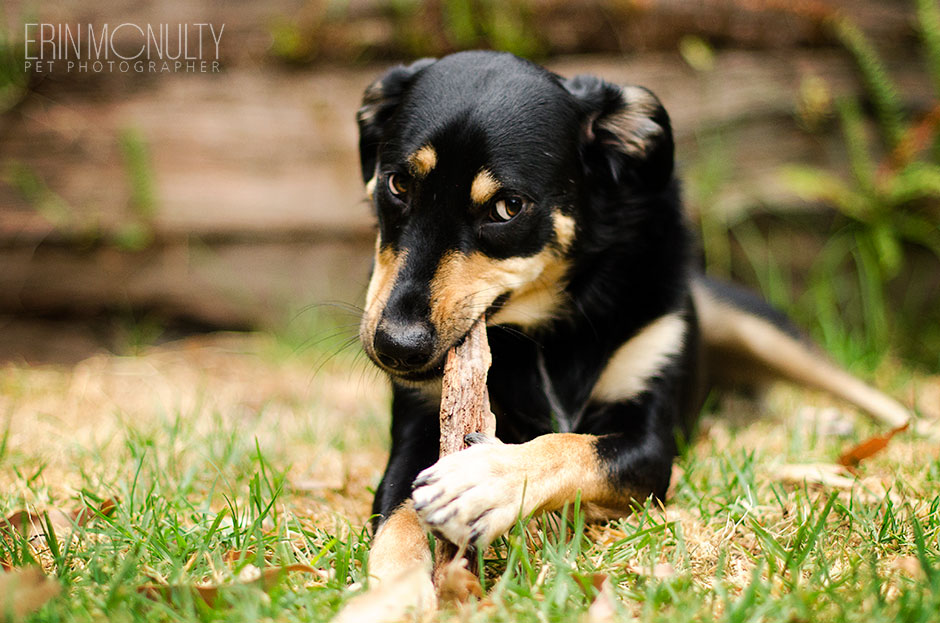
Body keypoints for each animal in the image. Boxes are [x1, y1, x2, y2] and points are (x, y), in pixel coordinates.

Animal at [348, 51, 908, 588]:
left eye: (508, 207)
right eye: (398, 183)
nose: (397, 346)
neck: (548, 333)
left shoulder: (650, 445)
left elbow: (572, 447)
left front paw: (490, 480)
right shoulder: (417, 428)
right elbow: (397, 520)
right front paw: (390, 592)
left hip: (762, 330)